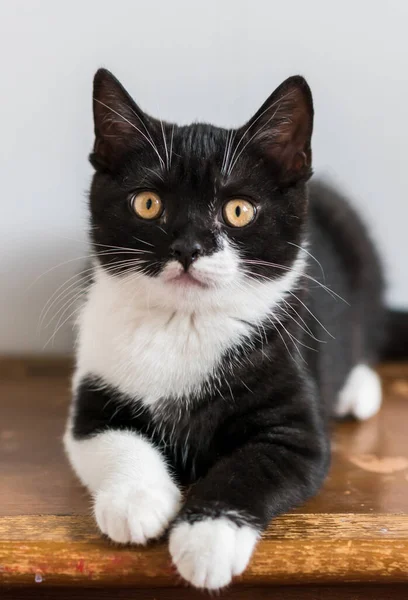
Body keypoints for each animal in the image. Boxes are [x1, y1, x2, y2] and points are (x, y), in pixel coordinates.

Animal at [63, 68, 404, 588]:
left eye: (239, 210)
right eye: (147, 203)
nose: (188, 247)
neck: (184, 325)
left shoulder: (295, 425)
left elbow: (249, 468)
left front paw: (207, 538)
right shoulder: (93, 395)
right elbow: (110, 439)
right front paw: (136, 501)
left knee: (366, 332)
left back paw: (355, 390)